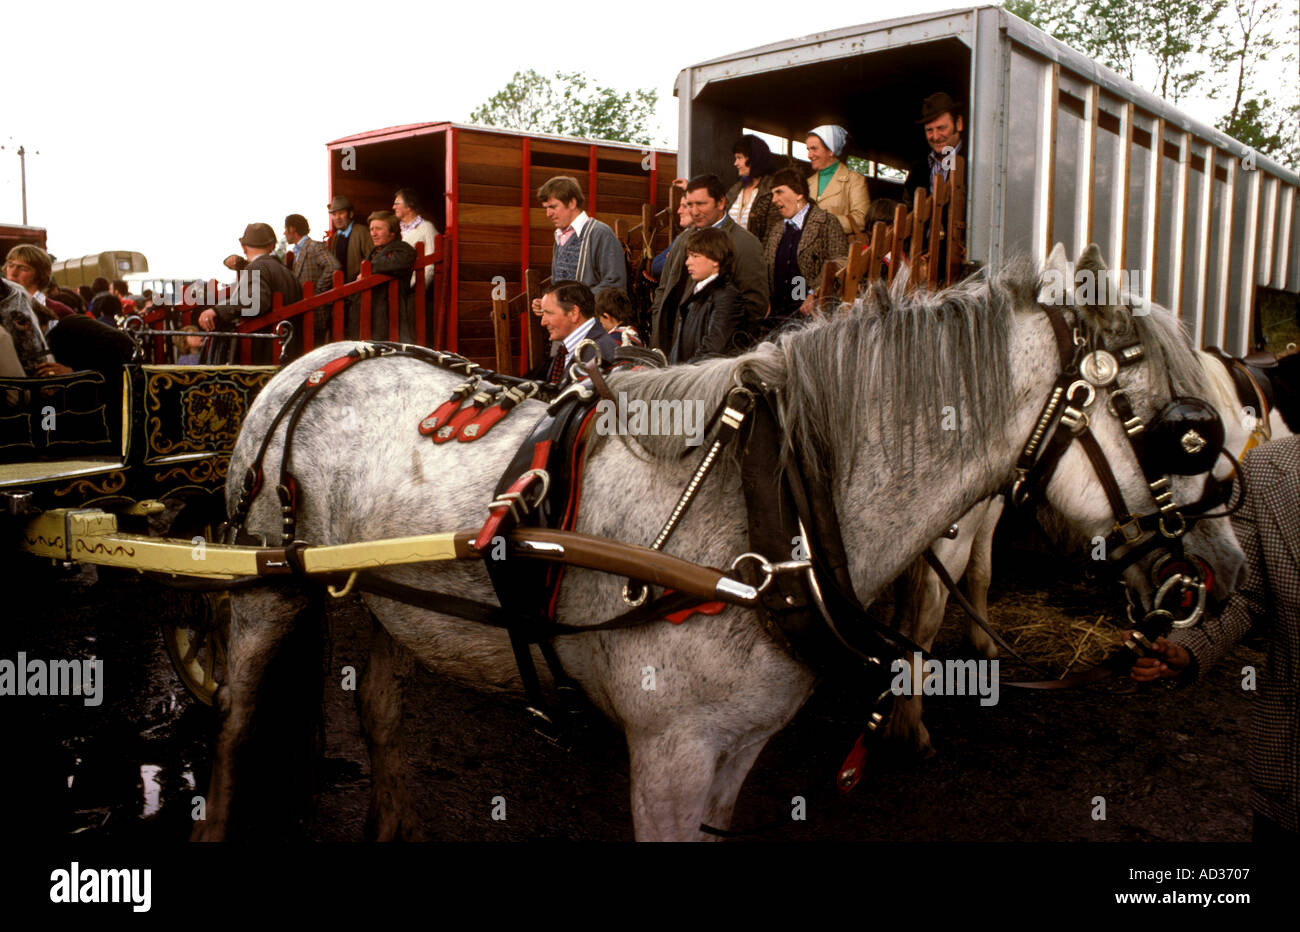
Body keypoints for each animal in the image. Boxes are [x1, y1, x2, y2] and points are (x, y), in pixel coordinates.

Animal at [192, 243, 1237, 842]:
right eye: (1180, 430)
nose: (1216, 579)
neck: (777, 515)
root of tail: (318, 355)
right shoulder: (671, 752)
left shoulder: (733, 750)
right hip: (267, 587)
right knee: (237, 725)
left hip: (381, 598)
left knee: (380, 718)